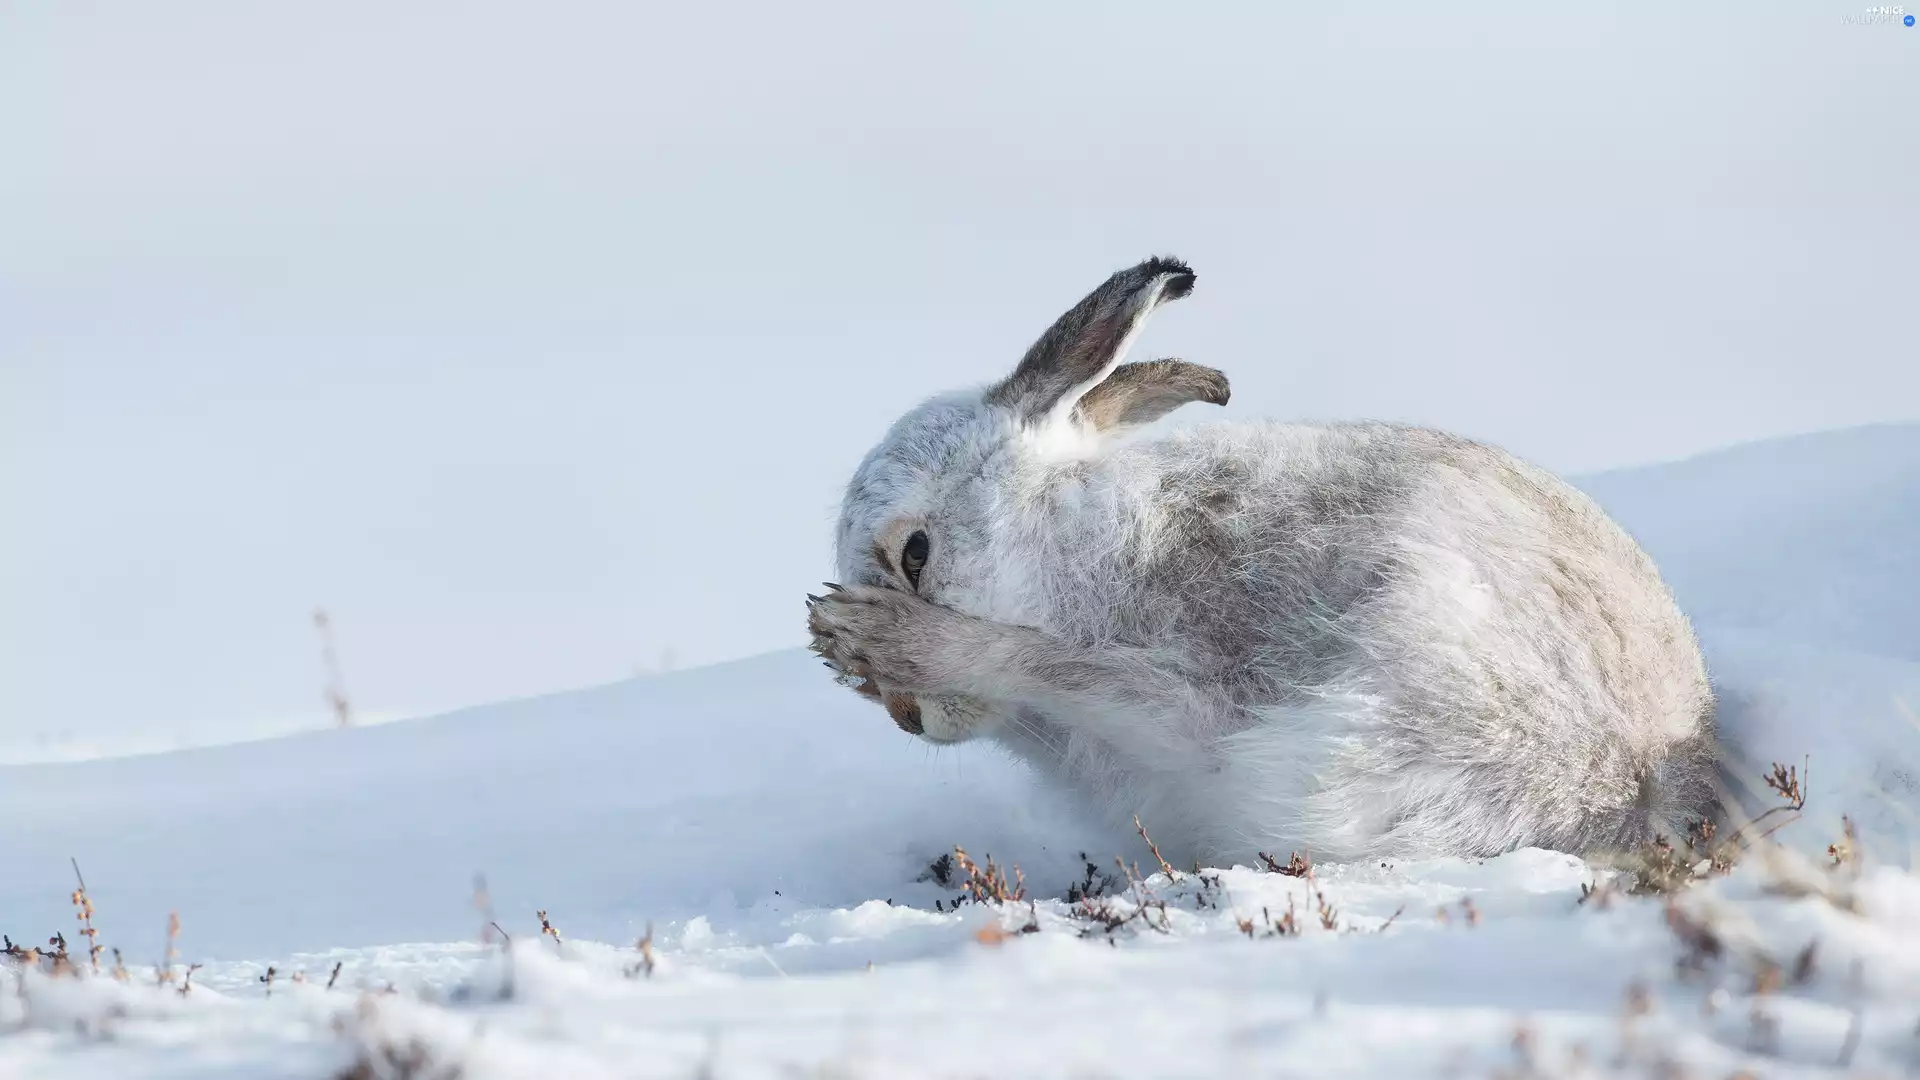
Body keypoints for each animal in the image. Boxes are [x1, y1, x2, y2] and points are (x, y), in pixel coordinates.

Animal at [806, 255, 1721, 868]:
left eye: (916, 554)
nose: (904, 717)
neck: (1065, 546)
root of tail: (1640, 788)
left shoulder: (1205, 678)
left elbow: (1075, 671)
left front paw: (872, 635)